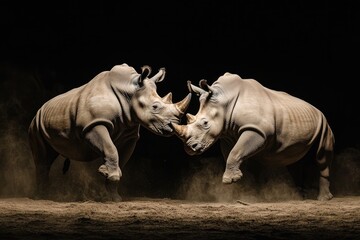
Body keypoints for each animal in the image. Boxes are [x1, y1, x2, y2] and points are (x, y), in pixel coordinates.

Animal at [28, 63, 191, 201]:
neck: (129, 91)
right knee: (42, 160)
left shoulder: (130, 134)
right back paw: (41, 197)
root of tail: (40, 108)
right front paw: (110, 179)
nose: (173, 126)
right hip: (35, 123)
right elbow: (111, 149)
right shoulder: (94, 124)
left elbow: (120, 160)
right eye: (155, 107)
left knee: (48, 156)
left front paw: (114, 197)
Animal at [172, 72, 334, 201]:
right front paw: (244, 189)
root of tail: (316, 109)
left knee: (321, 155)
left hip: (324, 122)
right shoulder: (227, 135)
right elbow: (233, 154)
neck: (225, 100)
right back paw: (299, 197)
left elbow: (235, 152)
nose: (190, 148)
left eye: (205, 123)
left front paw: (230, 180)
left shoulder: (257, 129)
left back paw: (323, 199)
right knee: (294, 158)